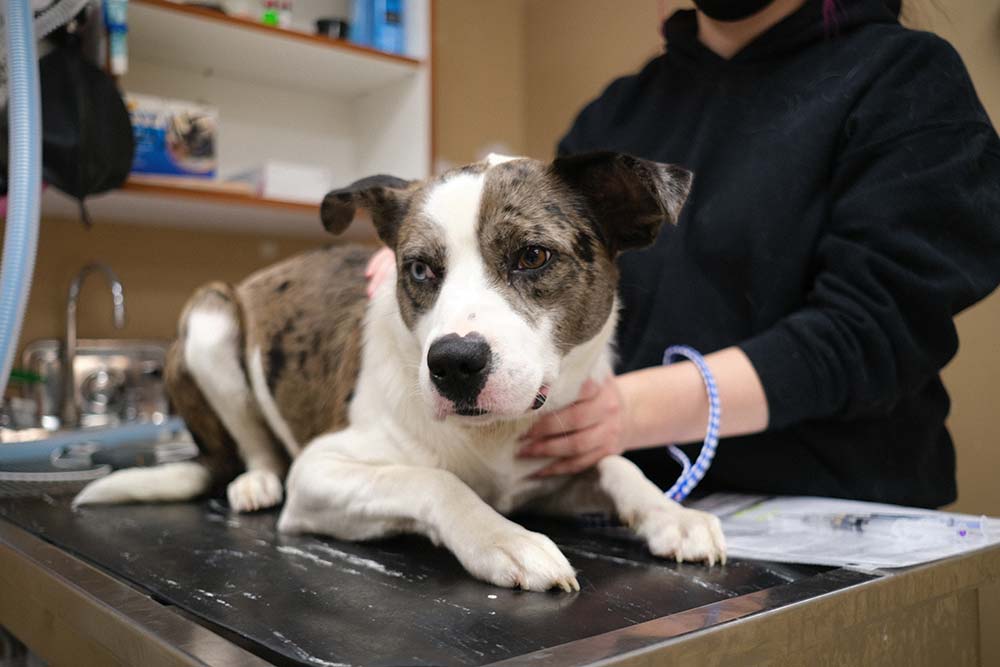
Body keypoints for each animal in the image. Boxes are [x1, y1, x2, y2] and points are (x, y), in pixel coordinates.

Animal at [72, 153, 728, 596]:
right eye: (418, 269)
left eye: (533, 256)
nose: (454, 364)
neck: (492, 437)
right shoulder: (320, 473)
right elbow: (435, 483)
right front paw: (505, 539)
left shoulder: (555, 464)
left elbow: (618, 466)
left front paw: (673, 517)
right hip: (210, 319)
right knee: (257, 447)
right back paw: (255, 481)